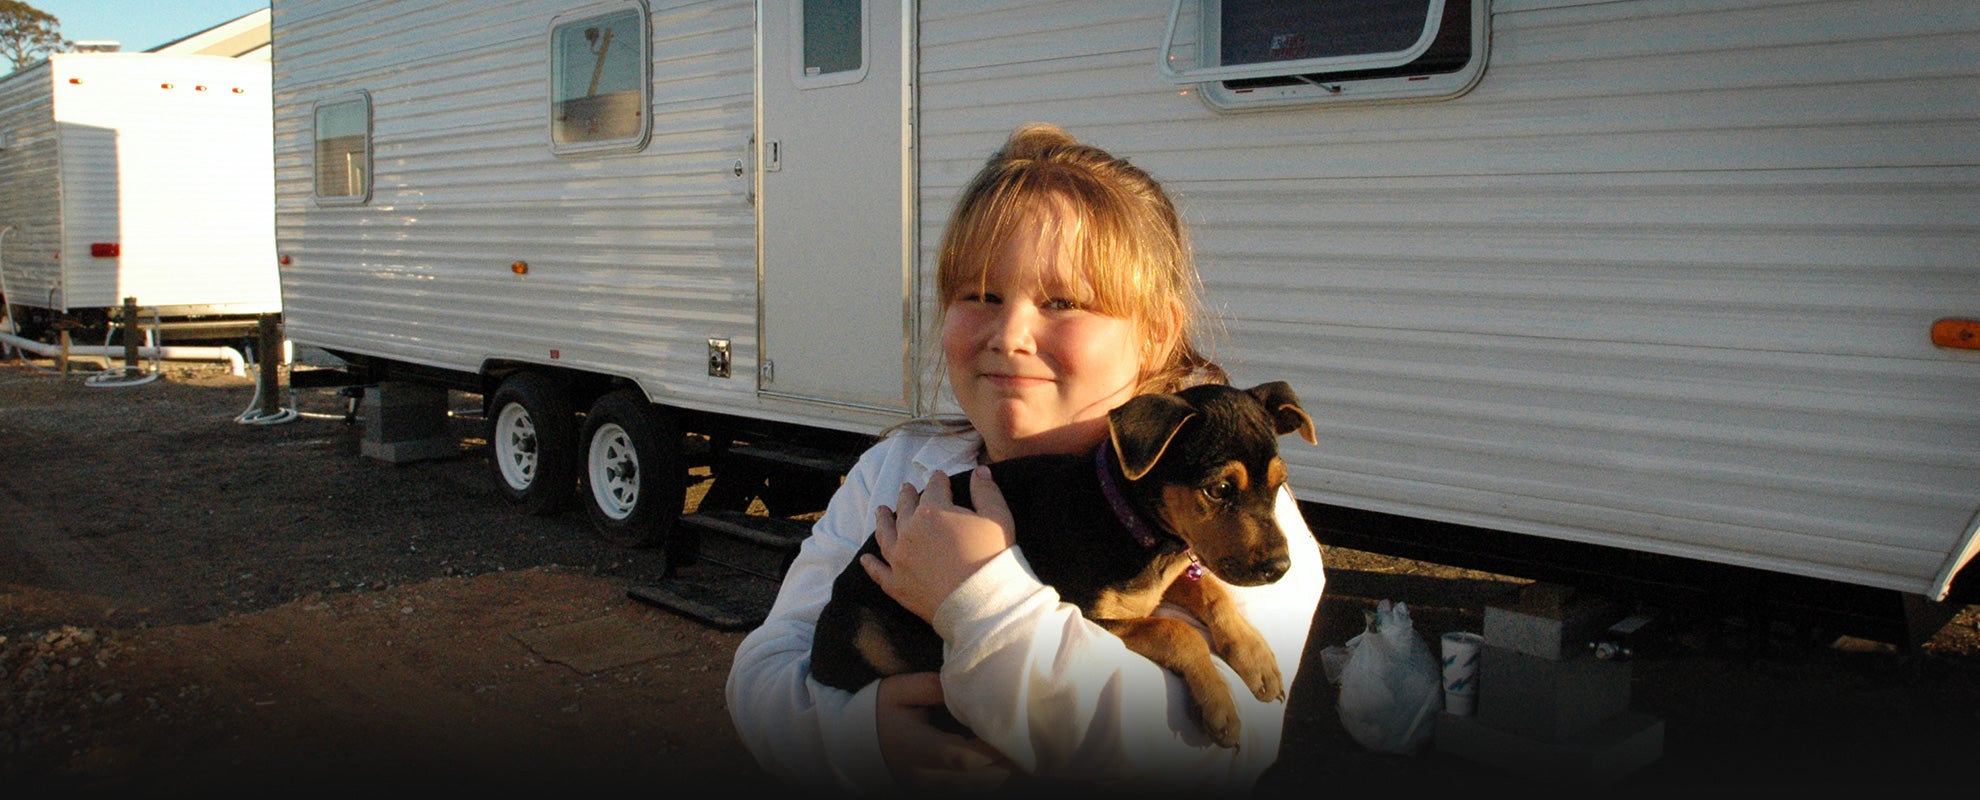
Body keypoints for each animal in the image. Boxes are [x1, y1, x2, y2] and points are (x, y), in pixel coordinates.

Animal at [803, 382, 1314, 748]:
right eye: (1219, 490)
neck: (1129, 522)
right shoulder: (1092, 614)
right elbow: (1176, 631)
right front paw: (1220, 707)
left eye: (1278, 486)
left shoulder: (1167, 574)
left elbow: (1212, 589)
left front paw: (1258, 660)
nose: (1280, 567)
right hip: (862, 629)